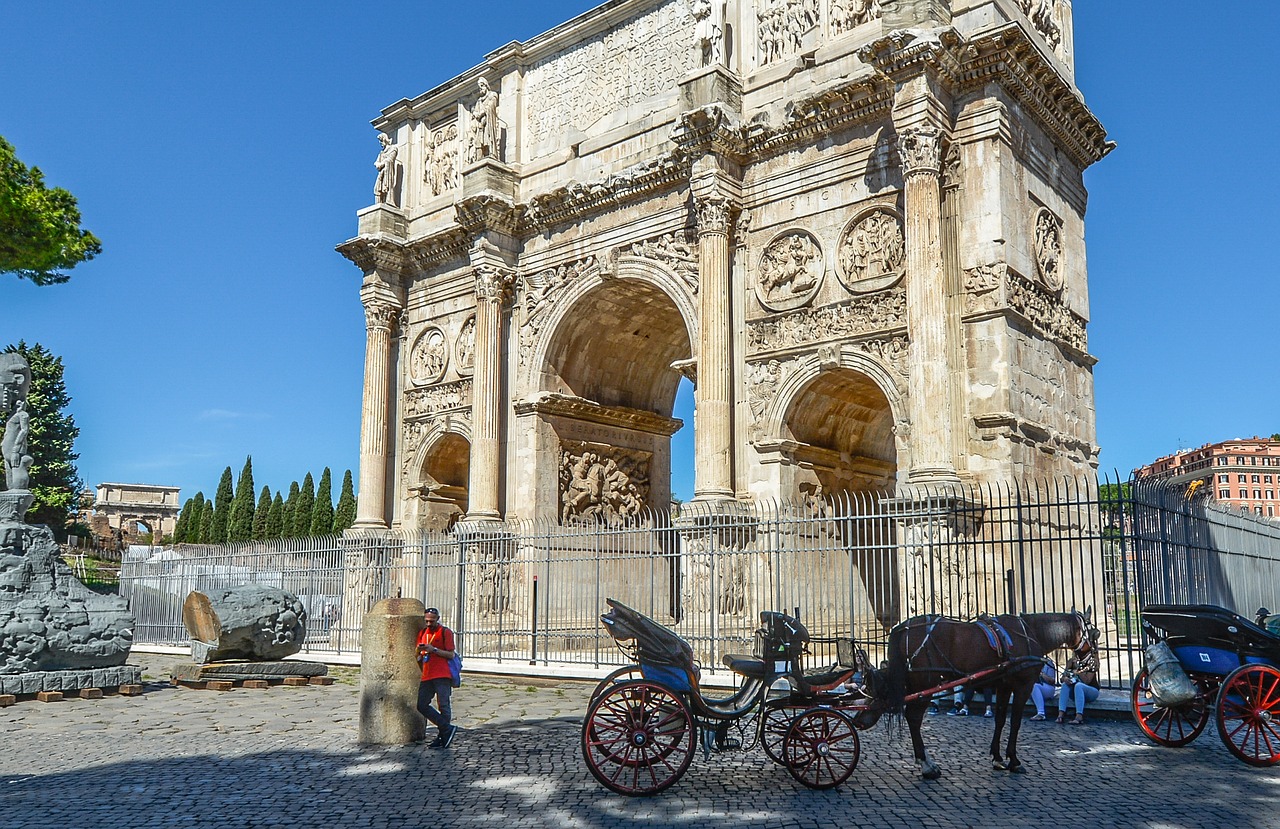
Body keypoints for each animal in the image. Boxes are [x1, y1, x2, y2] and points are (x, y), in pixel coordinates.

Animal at [875, 608, 1095, 777]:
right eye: (1094, 633)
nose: (1090, 663)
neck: (1030, 632)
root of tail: (902, 627)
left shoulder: (1004, 685)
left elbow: (1000, 720)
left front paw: (998, 758)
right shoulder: (1023, 685)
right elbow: (1015, 722)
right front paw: (1014, 760)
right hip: (925, 683)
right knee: (913, 718)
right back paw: (926, 765)